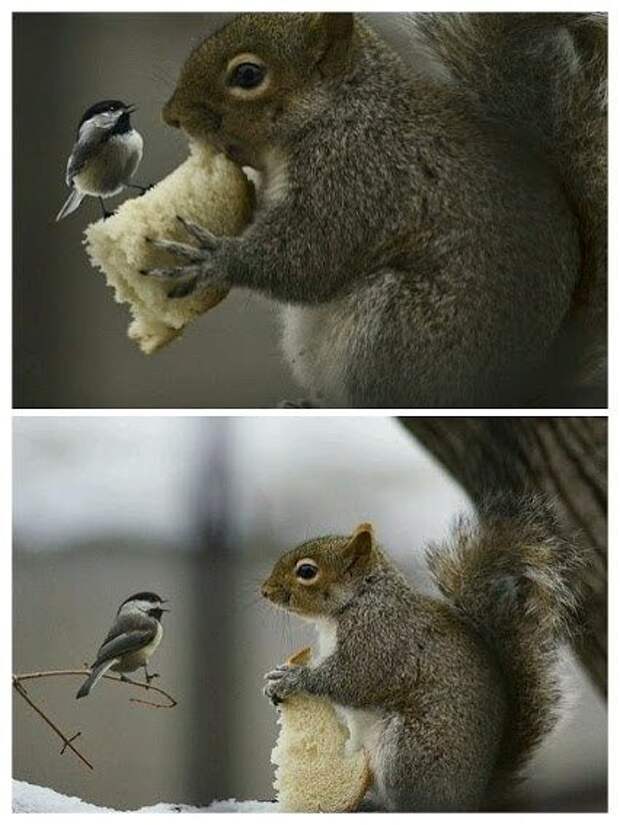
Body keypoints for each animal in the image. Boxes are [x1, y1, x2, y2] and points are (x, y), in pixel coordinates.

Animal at [149, 14, 604, 408]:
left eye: (247, 75)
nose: (171, 116)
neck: (341, 107)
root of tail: (525, 384)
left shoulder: (357, 173)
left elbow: (309, 256)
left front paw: (213, 260)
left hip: (396, 331)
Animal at [260, 496, 588, 812]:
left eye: (307, 571)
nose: (265, 591)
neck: (358, 600)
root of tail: (472, 800)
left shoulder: (379, 639)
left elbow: (352, 680)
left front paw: (291, 679)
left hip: (410, 750)